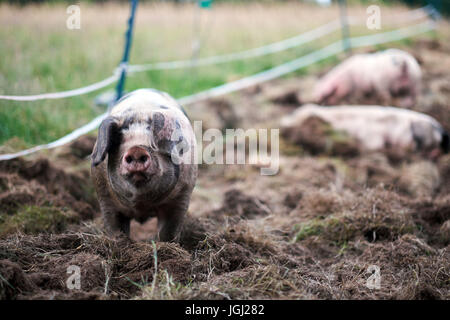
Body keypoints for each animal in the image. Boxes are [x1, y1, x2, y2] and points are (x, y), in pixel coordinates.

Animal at [91, 89, 197, 241]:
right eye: (121, 143)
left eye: (153, 144)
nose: (136, 149)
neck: (141, 205)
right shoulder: (105, 197)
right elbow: (115, 229)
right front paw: (120, 243)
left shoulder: (181, 197)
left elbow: (168, 232)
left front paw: (163, 244)